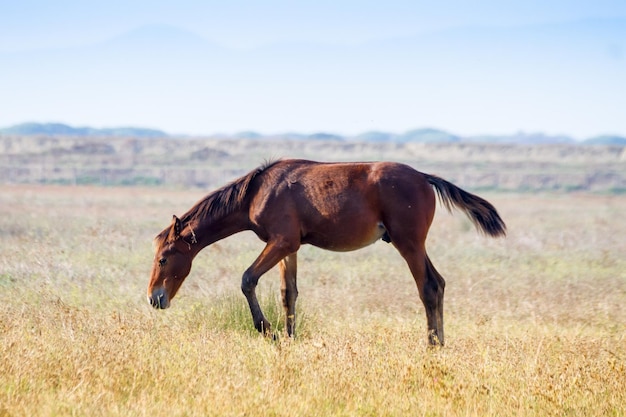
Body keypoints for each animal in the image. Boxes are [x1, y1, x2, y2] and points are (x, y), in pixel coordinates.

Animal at [145, 159, 502, 344]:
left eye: (163, 258)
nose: (154, 298)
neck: (258, 191)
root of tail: (425, 178)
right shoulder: (288, 247)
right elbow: (288, 292)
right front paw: (289, 338)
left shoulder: (281, 243)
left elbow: (247, 279)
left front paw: (268, 331)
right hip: (414, 244)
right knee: (438, 283)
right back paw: (442, 342)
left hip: (409, 243)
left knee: (427, 287)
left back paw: (431, 345)